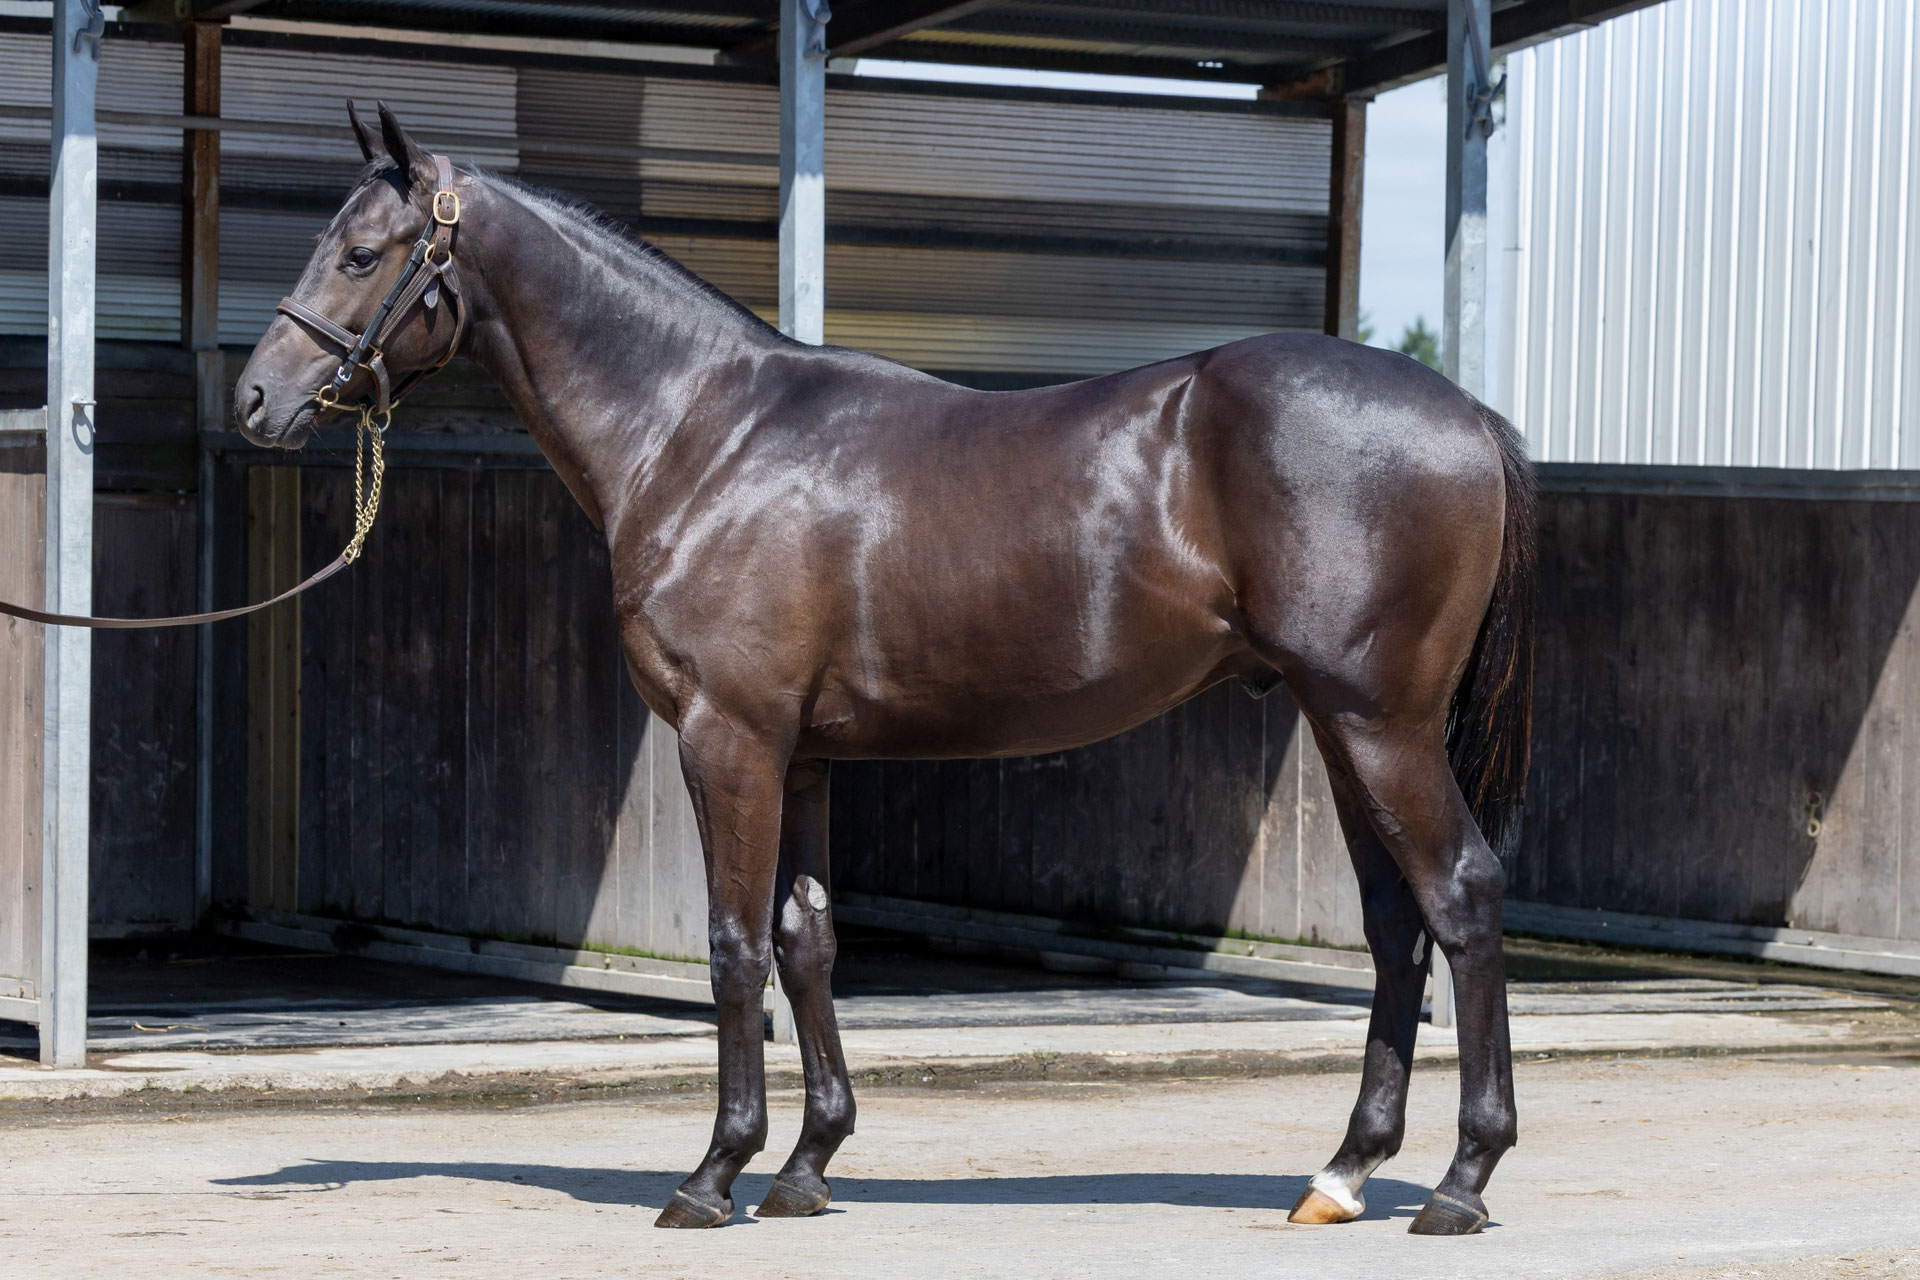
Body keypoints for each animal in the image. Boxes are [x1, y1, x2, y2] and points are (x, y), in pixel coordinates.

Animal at [236, 105, 1536, 1237]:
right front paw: (808, 1163)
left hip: (1379, 722)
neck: (704, 435)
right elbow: (807, 941)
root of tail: (1467, 413)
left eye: (361, 252)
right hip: (1341, 724)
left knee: (1462, 894)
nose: (256, 399)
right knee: (1397, 924)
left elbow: (735, 944)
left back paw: (1460, 1180)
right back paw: (1344, 1171)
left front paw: (713, 1172)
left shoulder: (728, 737)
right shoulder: (803, 754)